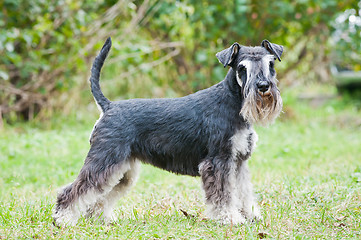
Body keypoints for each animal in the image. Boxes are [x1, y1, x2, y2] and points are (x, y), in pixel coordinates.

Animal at [54, 38, 284, 227]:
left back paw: (100, 218)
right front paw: (230, 218)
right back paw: (62, 219)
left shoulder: (238, 161)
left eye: (270, 64)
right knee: (73, 190)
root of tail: (109, 106)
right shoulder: (218, 161)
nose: (263, 86)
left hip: (122, 170)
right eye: (242, 67)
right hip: (104, 160)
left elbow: (243, 191)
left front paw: (251, 215)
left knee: (100, 196)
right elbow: (224, 195)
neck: (234, 103)